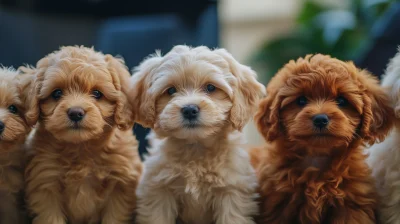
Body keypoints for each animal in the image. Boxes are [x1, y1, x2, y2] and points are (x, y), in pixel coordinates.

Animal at [22, 46, 142, 224]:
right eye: (56, 93)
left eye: (97, 93)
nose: (76, 112)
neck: (81, 148)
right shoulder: (46, 182)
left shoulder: (120, 184)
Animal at [130, 45, 264, 224]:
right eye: (170, 90)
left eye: (210, 88)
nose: (189, 109)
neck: (196, 146)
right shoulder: (158, 191)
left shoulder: (232, 191)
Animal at [250, 54, 394, 224]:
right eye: (301, 100)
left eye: (342, 101)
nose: (320, 119)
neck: (317, 157)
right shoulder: (278, 206)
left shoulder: (351, 206)